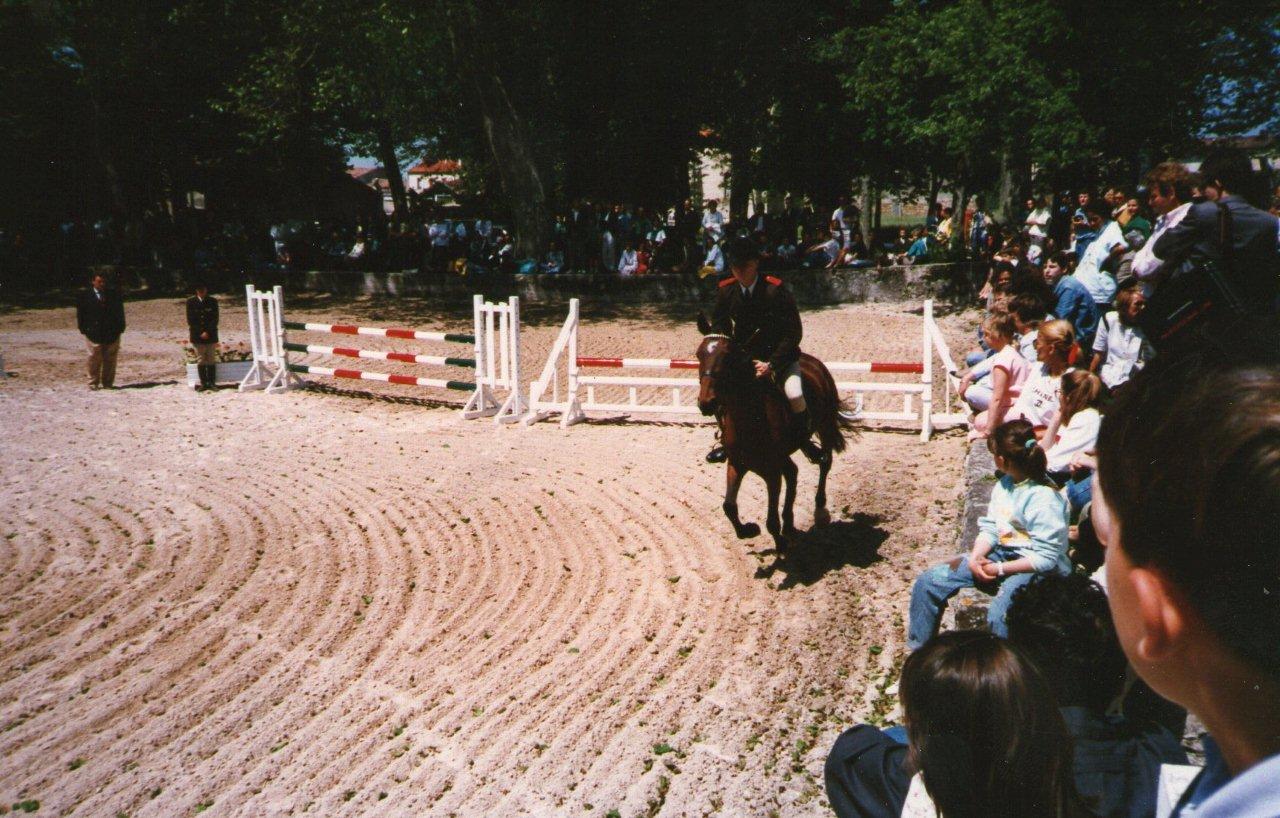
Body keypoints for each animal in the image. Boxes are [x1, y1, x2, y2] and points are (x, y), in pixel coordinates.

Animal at [695, 316, 853, 553]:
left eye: (728, 357)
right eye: (698, 355)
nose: (706, 403)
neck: (749, 417)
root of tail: (813, 362)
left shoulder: (771, 472)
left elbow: (771, 520)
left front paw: (781, 543)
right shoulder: (737, 464)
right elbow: (729, 506)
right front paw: (748, 530)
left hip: (824, 426)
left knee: (825, 462)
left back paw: (820, 511)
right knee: (794, 472)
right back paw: (789, 523)